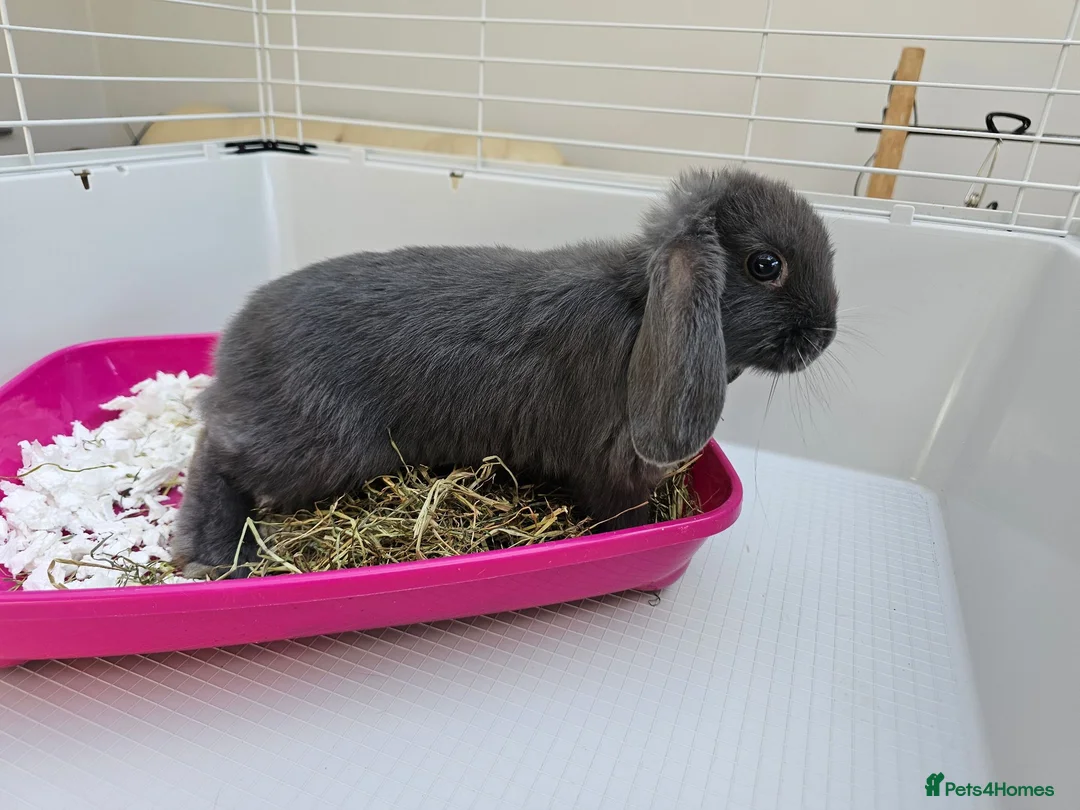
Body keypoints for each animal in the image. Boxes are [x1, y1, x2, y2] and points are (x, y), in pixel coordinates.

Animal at [172, 166, 838, 579]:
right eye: (765, 265)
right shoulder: (611, 471)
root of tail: (232, 351)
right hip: (318, 449)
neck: (641, 306)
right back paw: (212, 553)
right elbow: (623, 516)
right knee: (216, 457)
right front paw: (646, 528)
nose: (825, 334)